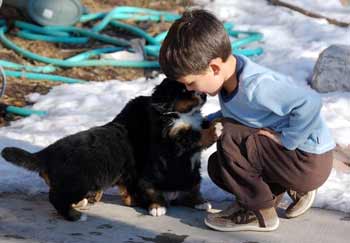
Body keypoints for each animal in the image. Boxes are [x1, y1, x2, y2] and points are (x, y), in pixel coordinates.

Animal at [114, 78, 221, 216]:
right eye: (184, 90)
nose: (204, 95)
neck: (184, 115)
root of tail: (171, 195)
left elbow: (204, 126)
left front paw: (217, 122)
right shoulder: (175, 139)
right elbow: (197, 136)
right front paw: (216, 128)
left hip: (195, 178)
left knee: (191, 193)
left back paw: (200, 202)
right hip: (147, 181)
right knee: (151, 194)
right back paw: (156, 207)